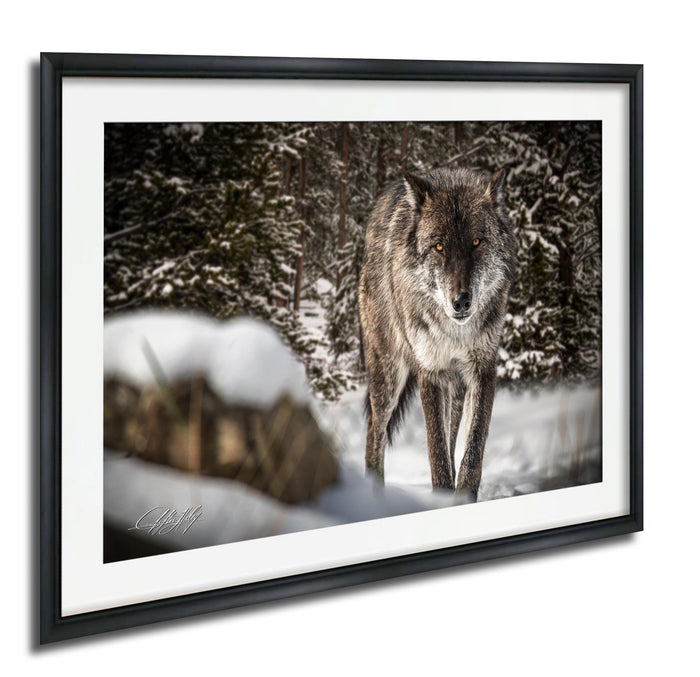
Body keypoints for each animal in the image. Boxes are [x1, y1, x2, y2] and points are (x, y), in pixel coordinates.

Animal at [359, 167, 516, 499]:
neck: (455, 333)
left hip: (455, 389)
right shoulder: (429, 372)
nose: (461, 301)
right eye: (439, 246)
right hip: (389, 378)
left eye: (476, 242)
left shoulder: (483, 369)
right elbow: (437, 455)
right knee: (374, 432)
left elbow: (471, 454)